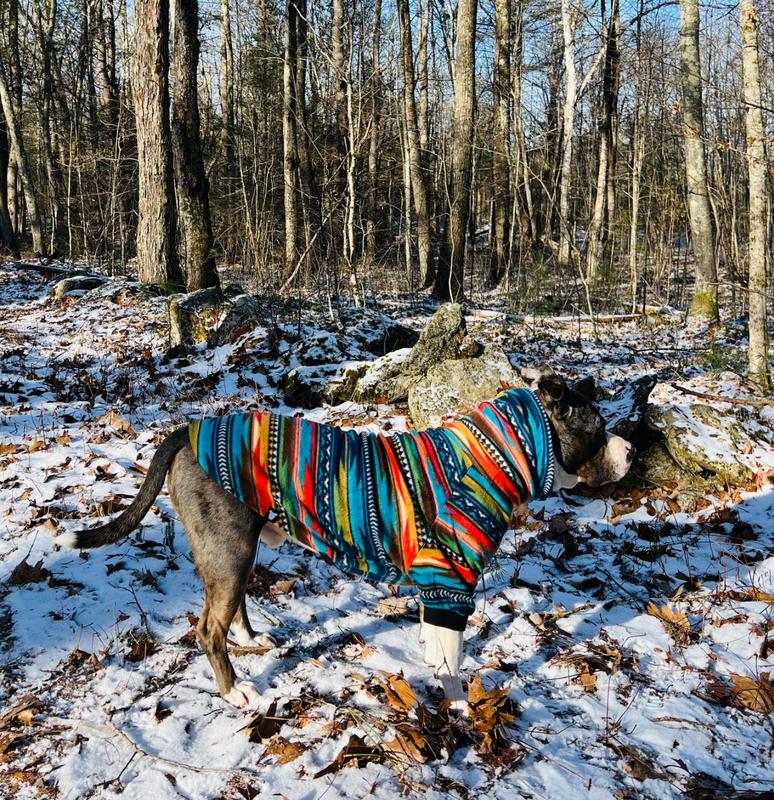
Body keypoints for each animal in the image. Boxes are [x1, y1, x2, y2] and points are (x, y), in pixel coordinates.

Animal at [56, 368, 636, 712]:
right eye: (598, 424)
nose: (632, 450)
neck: (493, 455)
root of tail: (187, 430)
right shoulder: (452, 582)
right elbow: (453, 663)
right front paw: (458, 709)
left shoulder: (436, 587)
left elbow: (435, 643)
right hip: (230, 549)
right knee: (207, 629)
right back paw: (234, 687)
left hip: (232, 550)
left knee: (226, 607)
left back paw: (250, 639)